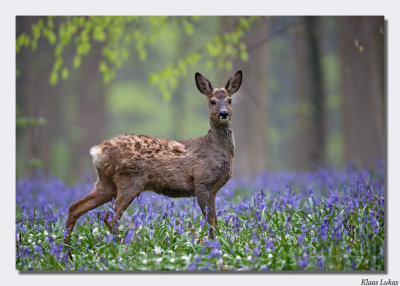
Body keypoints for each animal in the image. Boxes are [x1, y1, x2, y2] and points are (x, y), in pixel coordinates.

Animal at [64, 71, 242, 246]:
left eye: (229, 100)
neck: (216, 148)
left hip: (106, 183)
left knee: (75, 207)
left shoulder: (214, 190)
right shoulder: (202, 182)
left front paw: (218, 243)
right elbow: (210, 221)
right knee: (110, 217)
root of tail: (98, 151)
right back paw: (128, 245)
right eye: (212, 102)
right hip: (130, 180)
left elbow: (215, 222)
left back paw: (67, 250)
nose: (223, 113)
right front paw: (214, 245)